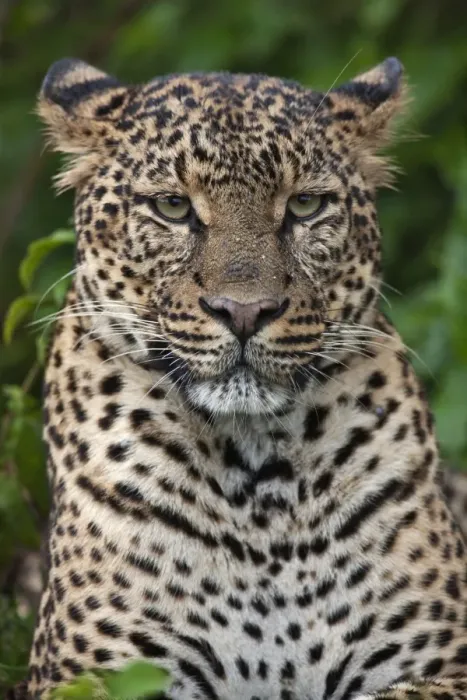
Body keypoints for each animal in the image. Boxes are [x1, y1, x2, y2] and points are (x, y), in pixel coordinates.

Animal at [15, 56, 467, 700]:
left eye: (305, 206)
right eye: (172, 207)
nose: (245, 311)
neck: (260, 490)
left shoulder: (441, 665)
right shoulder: (93, 676)